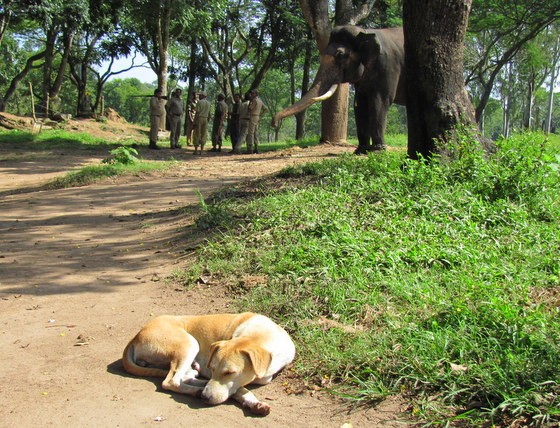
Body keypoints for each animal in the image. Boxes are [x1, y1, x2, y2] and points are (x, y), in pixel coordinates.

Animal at [122, 310, 296, 414]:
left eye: (229, 372)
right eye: (212, 368)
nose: (206, 398)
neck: (260, 335)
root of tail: (136, 336)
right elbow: (239, 389)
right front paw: (251, 401)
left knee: (184, 377)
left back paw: (199, 385)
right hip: (189, 344)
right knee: (171, 381)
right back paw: (197, 390)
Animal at [274, 25, 404, 154]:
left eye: (340, 55)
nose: (274, 123)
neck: (364, 32)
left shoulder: (387, 66)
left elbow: (380, 102)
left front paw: (378, 151)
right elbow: (360, 106)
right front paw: (360, 151)